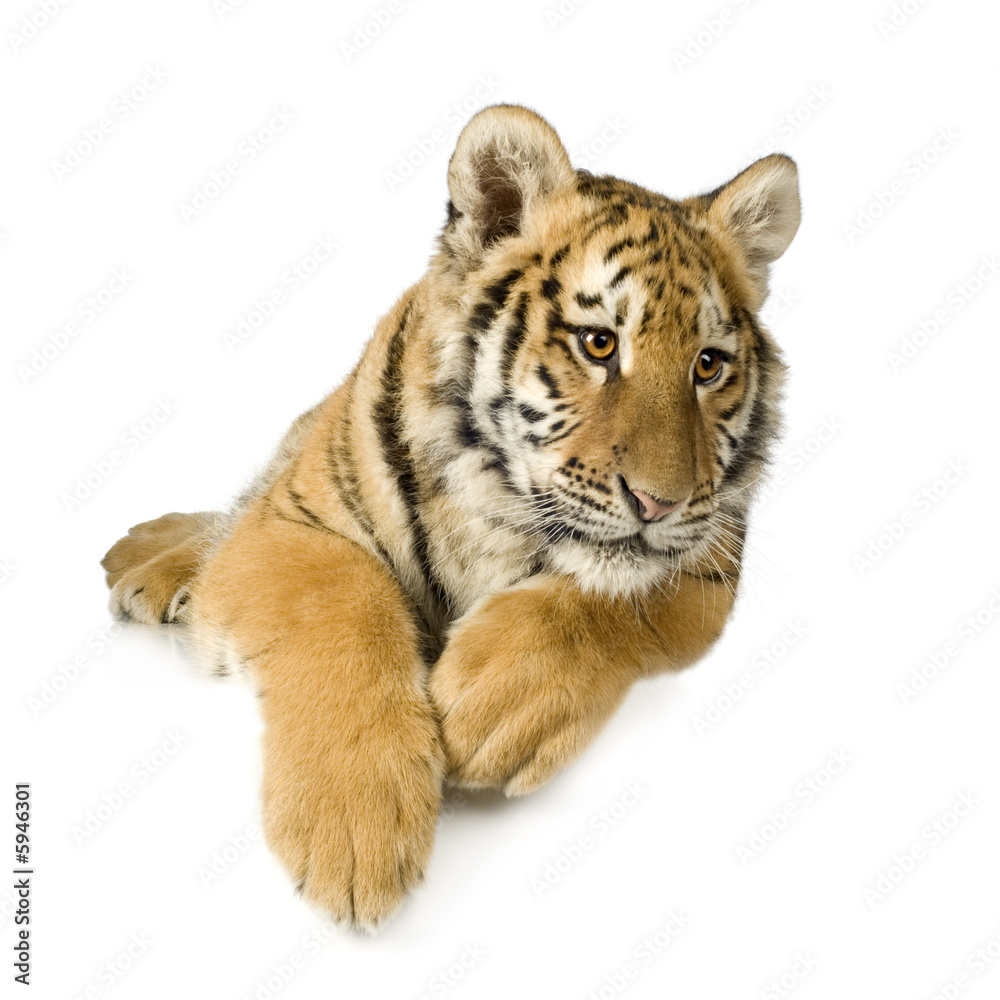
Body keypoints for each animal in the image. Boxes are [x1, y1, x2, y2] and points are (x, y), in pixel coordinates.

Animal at [101, 104, 800, 931]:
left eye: (708, 365)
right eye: (598, 343)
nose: (659, 503)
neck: (500, 505)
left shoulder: (709, 557)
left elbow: (610, 603)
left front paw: (493, 705)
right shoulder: (292, 526)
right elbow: (339, 600)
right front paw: (355, 824)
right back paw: (147, 558)